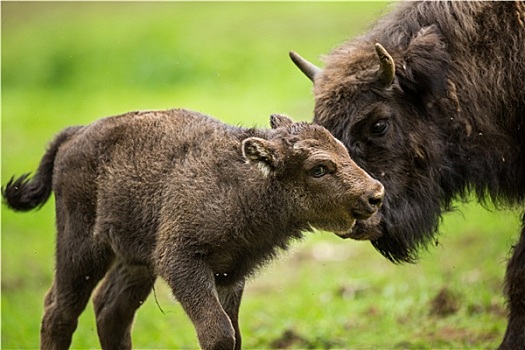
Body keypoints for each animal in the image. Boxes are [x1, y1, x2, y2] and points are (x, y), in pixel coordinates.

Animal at [2, 108, 382, 348]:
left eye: (343, 150)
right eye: (318, 168)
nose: (374, 195)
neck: (246, 183)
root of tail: (75, 134)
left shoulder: (230, 275)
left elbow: (234, 333)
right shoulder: (182, 263)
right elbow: (219, 333)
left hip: (136, 261)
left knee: (111, 312)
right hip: (81, 248)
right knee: (60, 311)